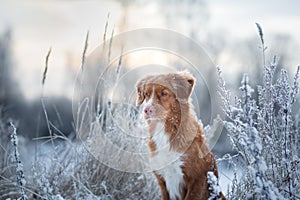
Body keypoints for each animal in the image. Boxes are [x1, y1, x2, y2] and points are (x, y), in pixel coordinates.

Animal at [136, 71, 225, 199]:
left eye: (164, 93)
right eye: (146, 94)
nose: (147, 110)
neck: (166, 131)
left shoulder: (197, 179)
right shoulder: (162, 181)